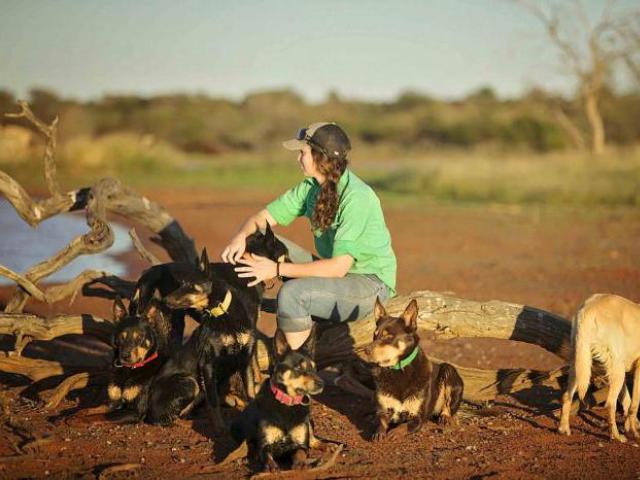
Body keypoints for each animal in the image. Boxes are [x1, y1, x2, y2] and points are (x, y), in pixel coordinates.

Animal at [230, 330, 324, 472]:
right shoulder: (265, 445)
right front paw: (271, 467)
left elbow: (300, 453)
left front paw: (301, 463)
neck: (287, 403)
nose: (322, 383)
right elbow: (267, 457)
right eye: (298, 368)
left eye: (315, 368)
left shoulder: (301, 445)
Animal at [362, 298, 462, 440]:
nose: (365, 350)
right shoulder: (383, 410)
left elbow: (405, 426)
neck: (397, 370)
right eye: (374, 336)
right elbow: (381, 422)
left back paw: (445, 416)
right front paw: (378, 432)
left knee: (448, 406)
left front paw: (394, 432)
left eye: (388, 336)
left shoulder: (418, 417)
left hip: (448, 370)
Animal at [556, 294, 640, 444]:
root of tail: (588, 310)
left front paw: (630, 426)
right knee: (610, 404)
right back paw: (616, 436)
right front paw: (634, 431)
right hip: (616, 370)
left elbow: (627, 401)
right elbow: (634, 403)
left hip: (581, 365)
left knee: (566, 396)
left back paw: (563, 429)